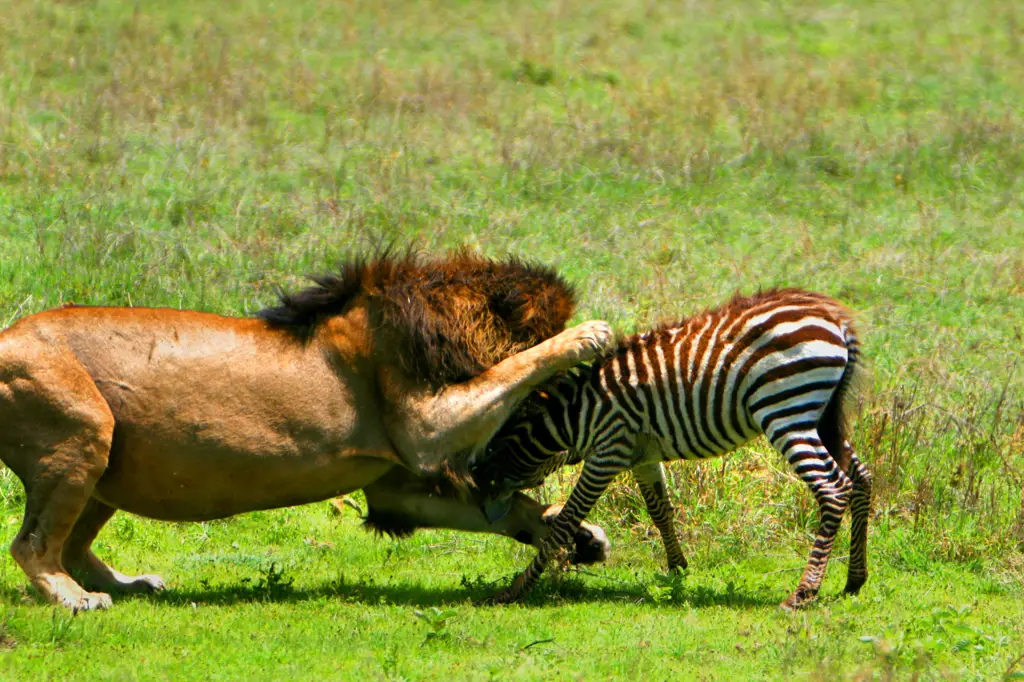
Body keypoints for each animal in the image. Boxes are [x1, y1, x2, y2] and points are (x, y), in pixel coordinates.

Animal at [0, 250, 606, 610]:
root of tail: (7, 336)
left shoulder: (396, 488)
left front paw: (575, 534)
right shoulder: (426, 430)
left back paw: (127, 584)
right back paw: (74, 598)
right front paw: (586, 335)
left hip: (108, 462)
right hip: (85, 429)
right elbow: (515, 368)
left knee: (73, 545)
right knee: (33, 545)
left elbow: (499, 509)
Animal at [468, 286, 872, 606]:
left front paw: (514, 590)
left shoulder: (607, 451)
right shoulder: (641, 455)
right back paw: (855, 580)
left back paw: (803, 593)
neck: (576, 415)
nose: (474, 487)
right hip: (822, 414)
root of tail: (834, 319)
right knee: (862, 479)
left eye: (491, 446)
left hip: (785, 410)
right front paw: (678, 569)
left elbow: (566, 520)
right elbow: (659, 510)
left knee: (833, 489)